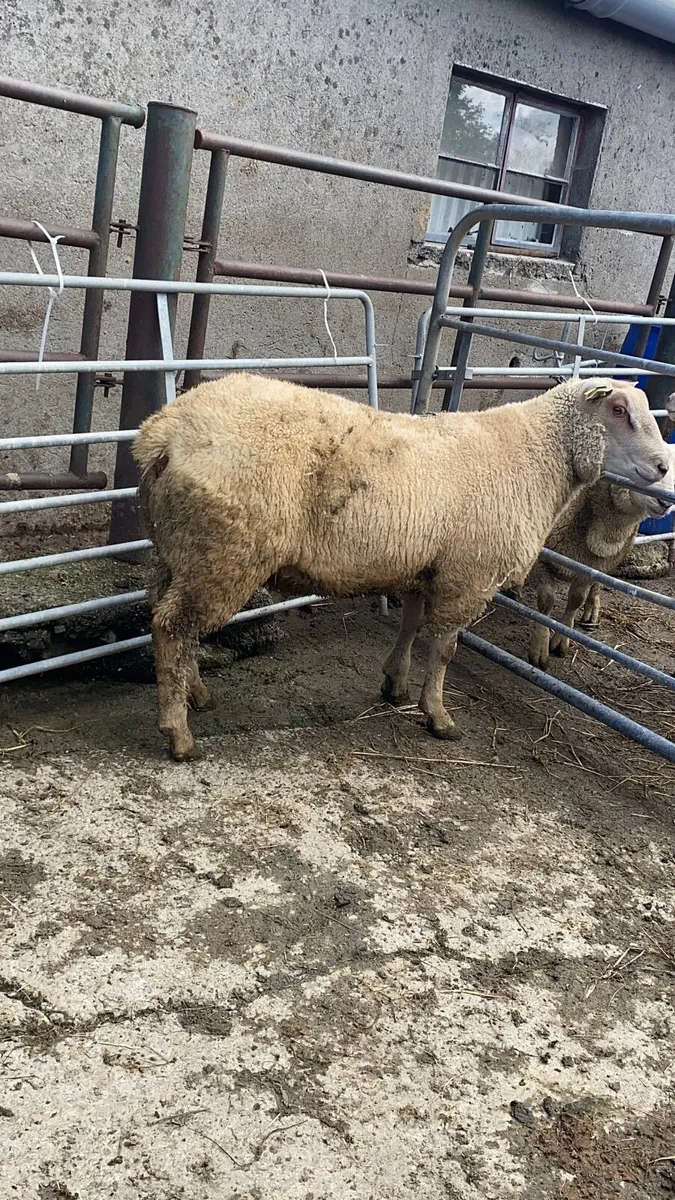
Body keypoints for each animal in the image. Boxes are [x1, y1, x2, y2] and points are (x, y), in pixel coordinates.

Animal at [133, 372, 669, 761]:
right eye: (618, 411)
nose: (663, 468)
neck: (537, 457)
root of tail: (163, 432)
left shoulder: (425, 568)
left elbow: (410, 626)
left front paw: (396, 683)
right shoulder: (468, 576)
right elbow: (445, 648)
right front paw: (438, 715)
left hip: (179, 547)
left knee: (165, 614)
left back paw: (196, 694)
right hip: (224, 551)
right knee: (173, 627)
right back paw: (178, 733)